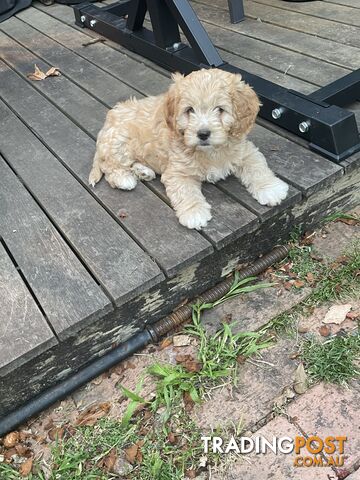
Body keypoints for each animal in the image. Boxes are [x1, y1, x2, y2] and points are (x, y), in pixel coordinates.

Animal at [90, 68, 290, 231]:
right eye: (189, 110)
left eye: (220, 109)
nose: (203, 134)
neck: (212, 151)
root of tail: (107, 123)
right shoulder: (178, 172)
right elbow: (185, 191)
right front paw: (194, 213)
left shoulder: (245, 151)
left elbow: (257, 167)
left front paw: (270, 189)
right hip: (119, 141)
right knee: (111, 167)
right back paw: (124, 179)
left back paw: (143, 171)